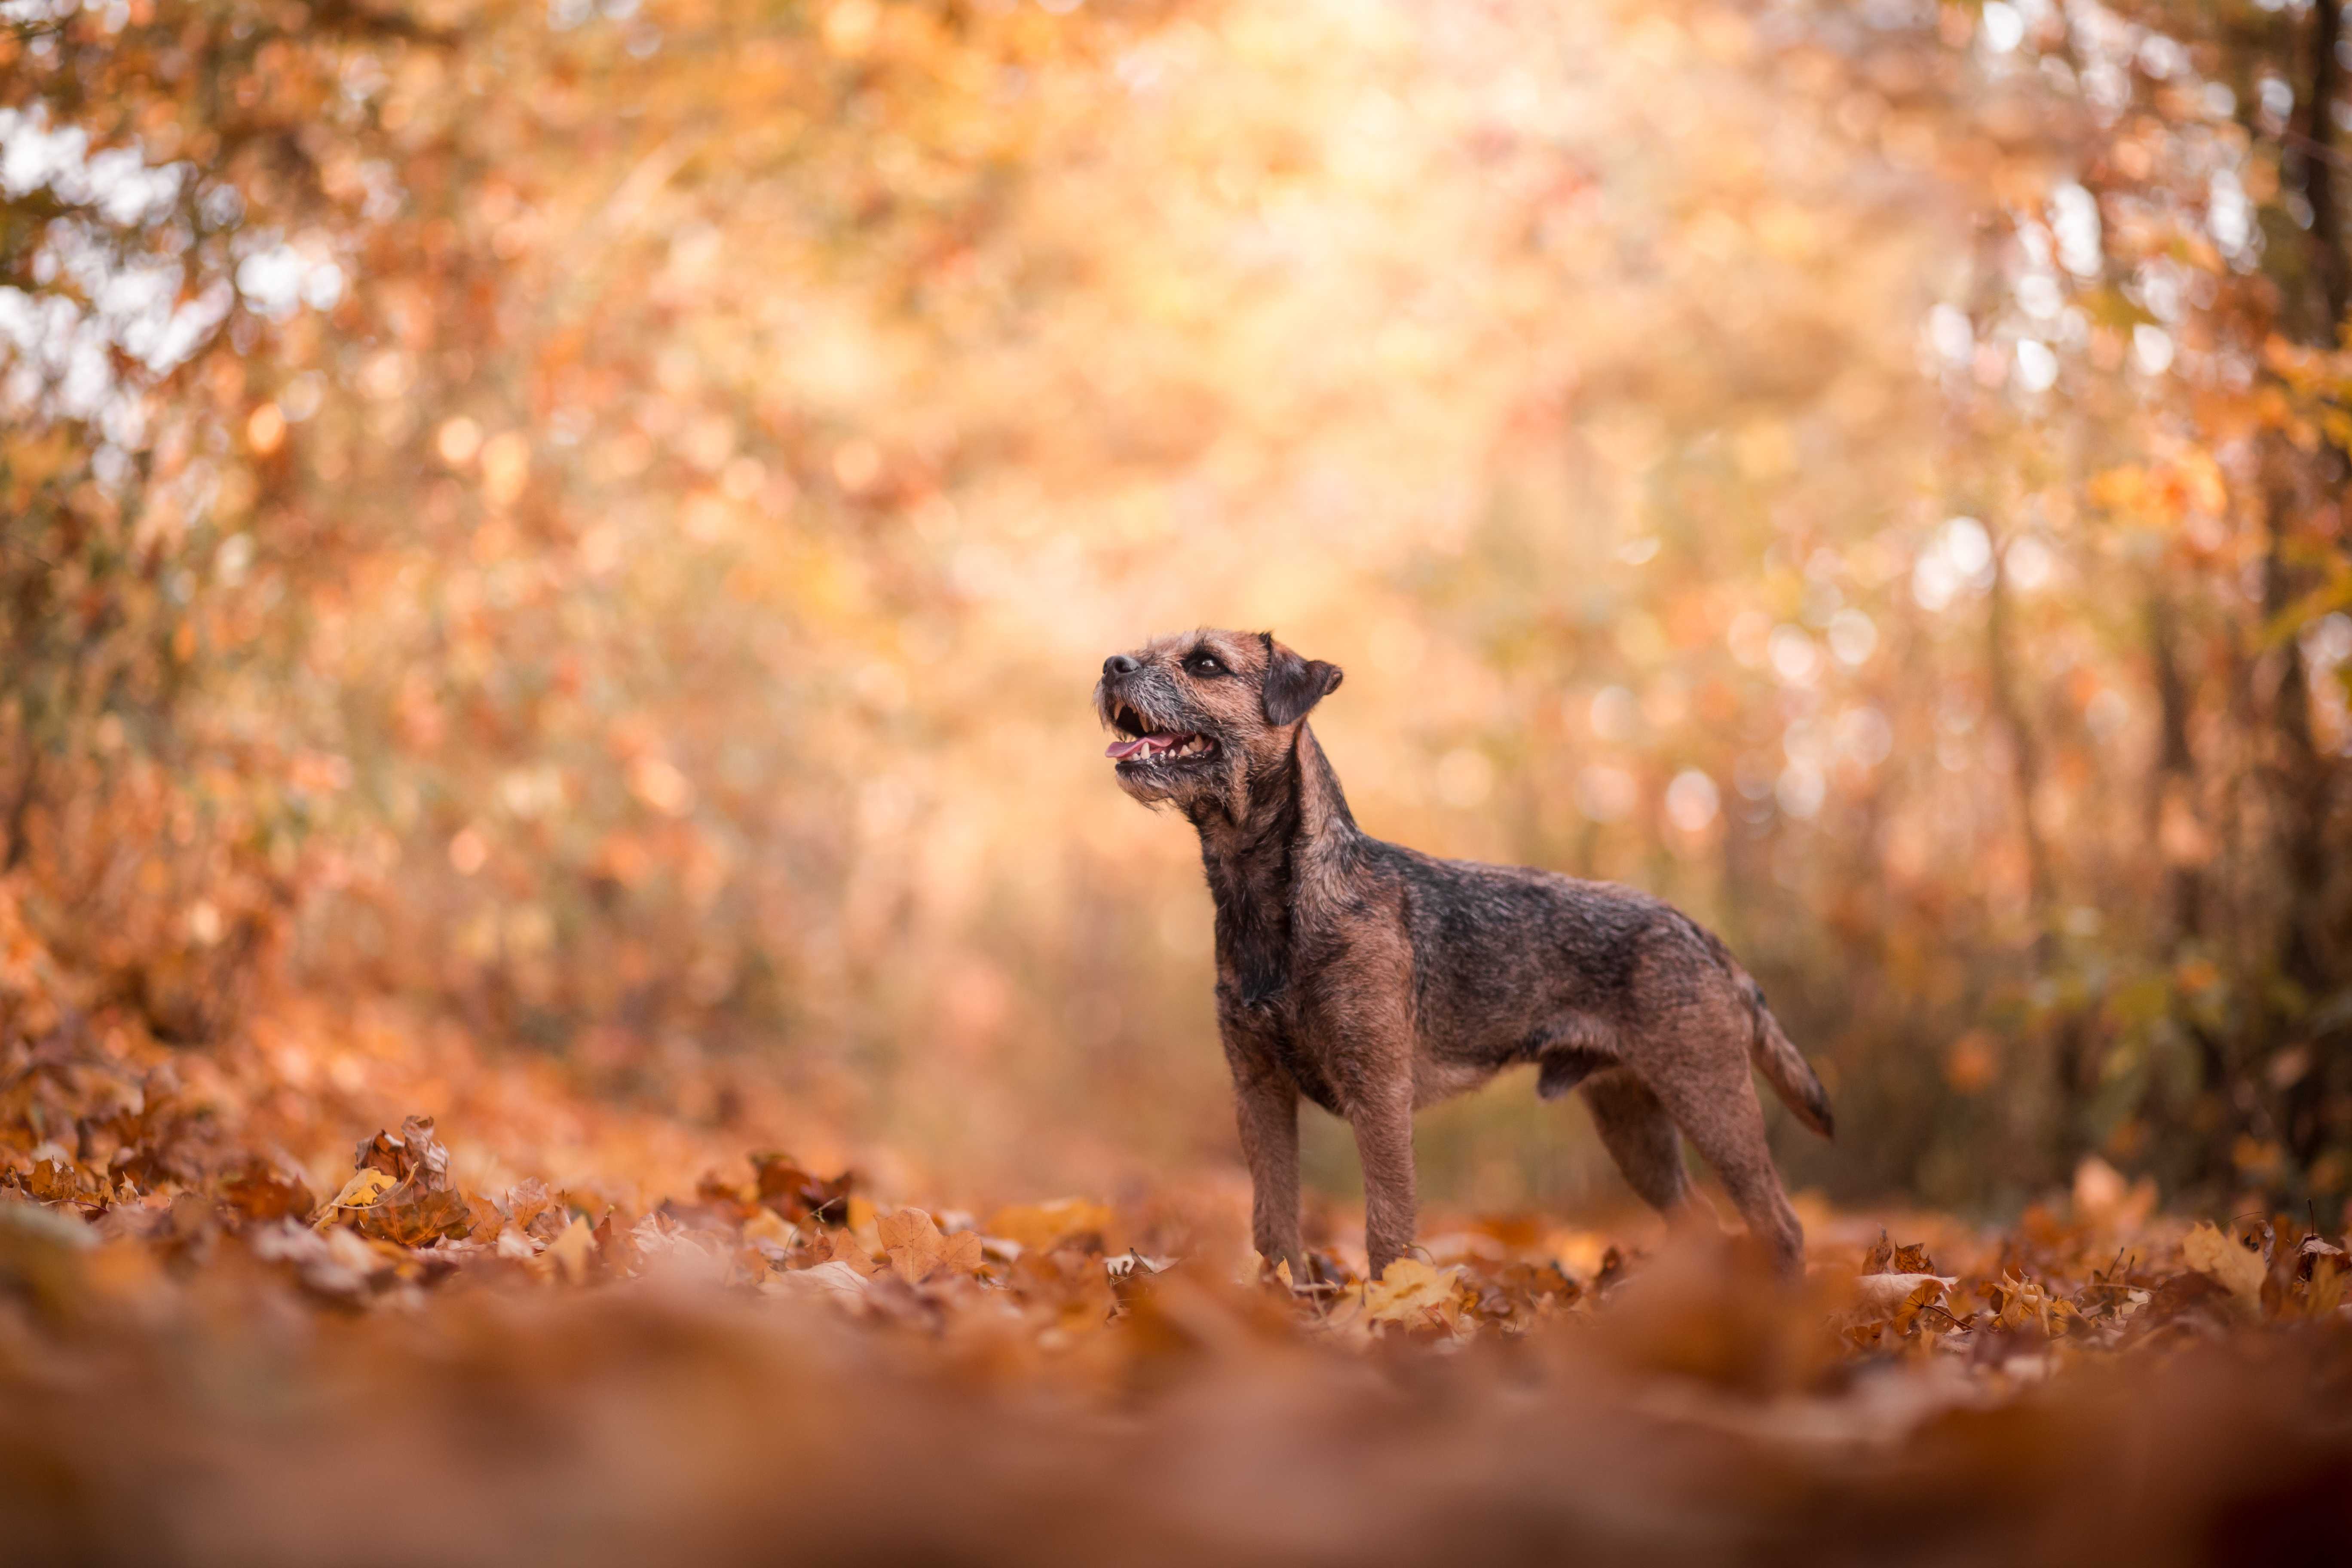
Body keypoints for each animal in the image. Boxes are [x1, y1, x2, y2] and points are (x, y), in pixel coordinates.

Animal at [1100, 630, 1834, 1279]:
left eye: (1206, 662)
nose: (1111, 665)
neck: (1270, 896)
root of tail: (1698, 932)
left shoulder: (1379, 1093)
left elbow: (1387, 1228)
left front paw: (1391, 1315)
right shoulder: (1259, 1092)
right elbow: (1273, 1225)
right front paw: (1283, 1309)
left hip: (1710, 1098)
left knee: (1779, 1223)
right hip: (1635, 1123)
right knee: (1700, 1222)